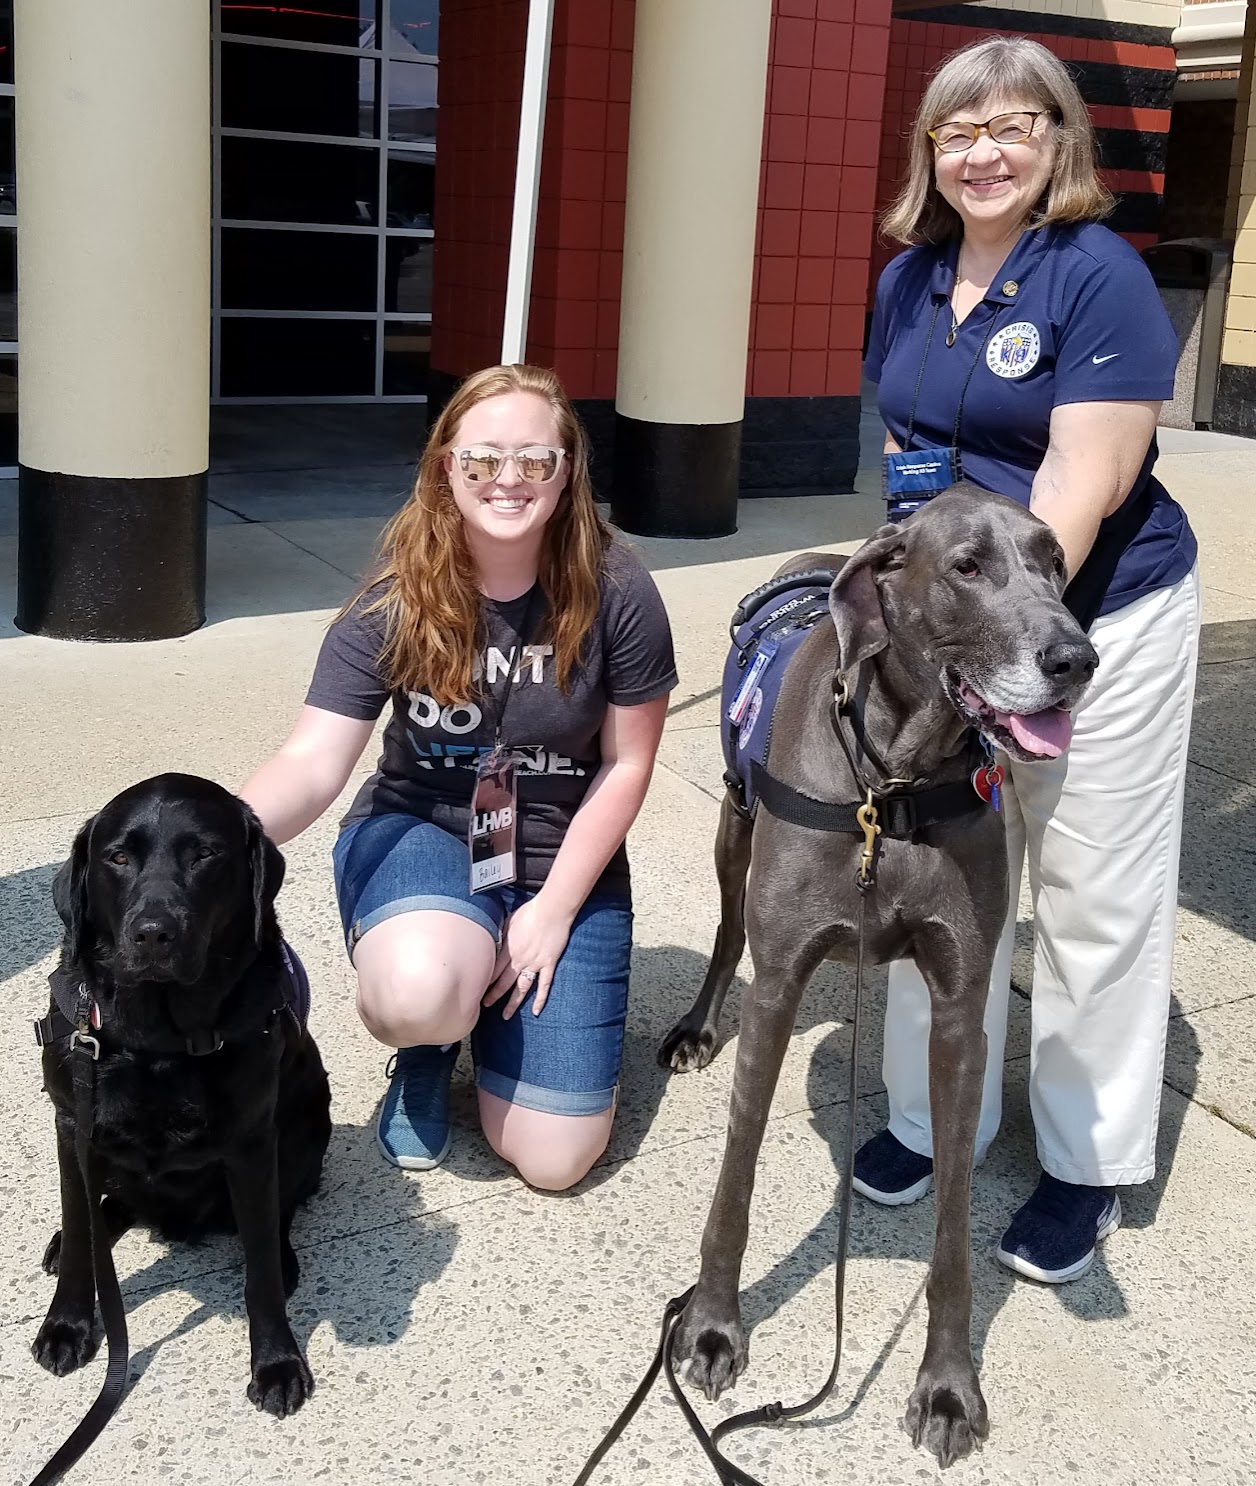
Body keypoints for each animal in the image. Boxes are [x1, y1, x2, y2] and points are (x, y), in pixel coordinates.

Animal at [32, 773, 331, 1417]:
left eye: (205, 856)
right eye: (117, 857)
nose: (153, 934)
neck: (157, 1038)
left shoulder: (251, 1143)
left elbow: (260, 1272)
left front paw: (276, 1363)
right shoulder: (72, 1126)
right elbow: (79, 1239)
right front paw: (67, 1326)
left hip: (307, 1120)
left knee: (279, 1213)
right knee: (103, 1211)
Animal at [659, 484, 1097, 1465]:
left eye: (1055, 561)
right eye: (967, 566)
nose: (1076, 658)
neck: (892, 784)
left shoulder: (960, 1008)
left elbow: (953, 1238)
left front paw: (947, 1387)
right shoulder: (779, 985)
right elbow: (735, 1176)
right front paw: (710, 1327)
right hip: (735, 827)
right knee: (727, 928)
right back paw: (698, 1027)